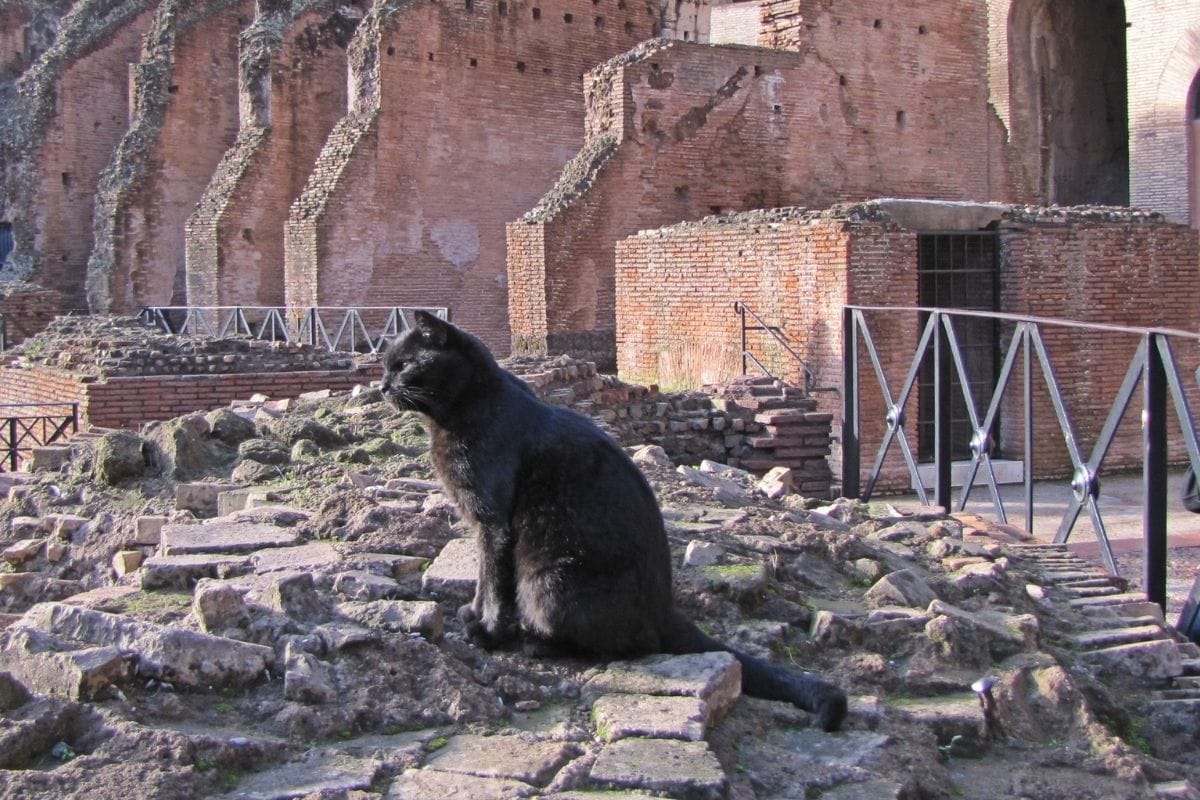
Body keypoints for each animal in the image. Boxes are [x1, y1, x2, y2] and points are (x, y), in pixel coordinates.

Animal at [381, 311, 844, 734]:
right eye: (386, 364)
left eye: (402, 364)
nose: (383, 385)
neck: (466, 410)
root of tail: (667, 610)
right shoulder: (480, 524)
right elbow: (482, 579)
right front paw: (473, 614)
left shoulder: (493, 523)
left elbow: (494, 582)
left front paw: (489, 632)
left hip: (547, 578)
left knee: (624, 644)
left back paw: (536, 644)